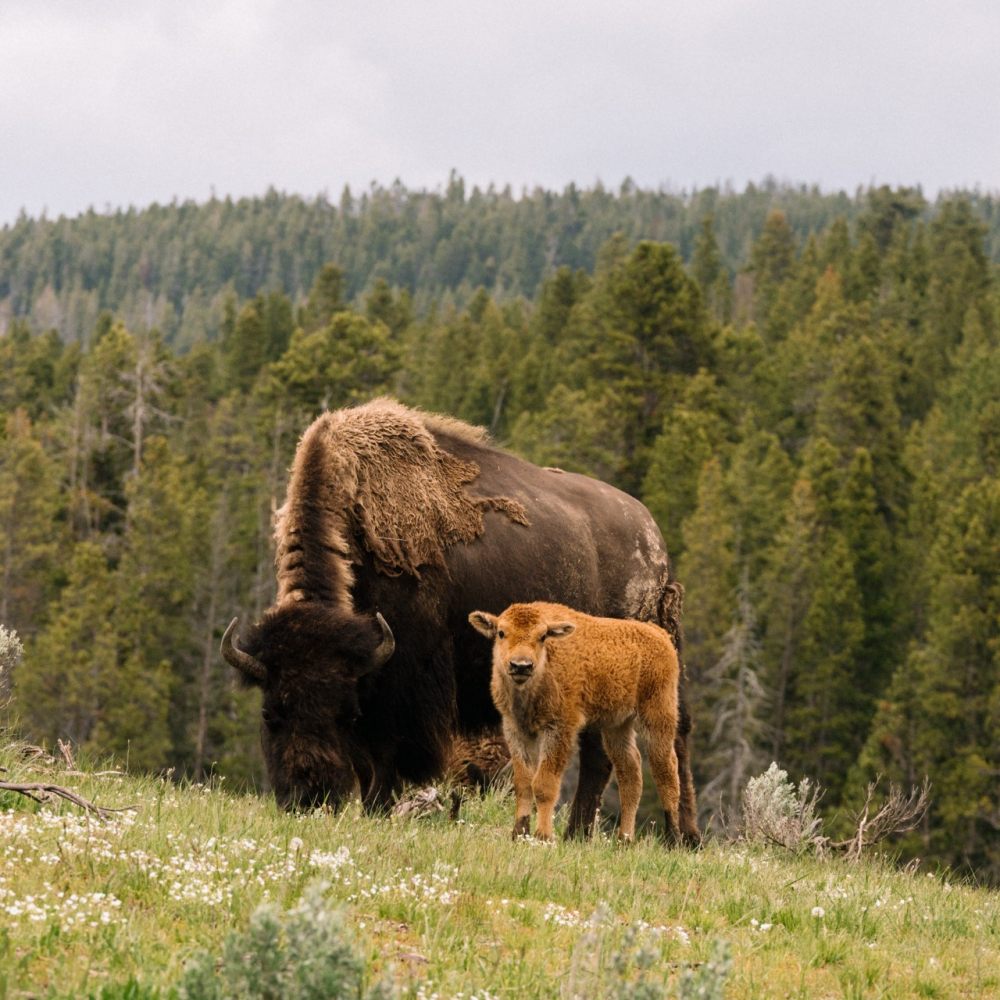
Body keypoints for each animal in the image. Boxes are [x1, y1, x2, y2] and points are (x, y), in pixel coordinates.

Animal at [468, 600, 680, 844]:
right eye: (501, 632)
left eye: (543, 636)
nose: (521, 665)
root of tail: (659, 634)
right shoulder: (515, 729)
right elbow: (523, 783)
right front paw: (518, 834)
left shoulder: (559, 729)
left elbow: (544, 784)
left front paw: (543, 836)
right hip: (617, 725)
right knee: (630, 772)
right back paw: (624, 840)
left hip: (658, 715)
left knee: (665, 769)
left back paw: (674, 838)